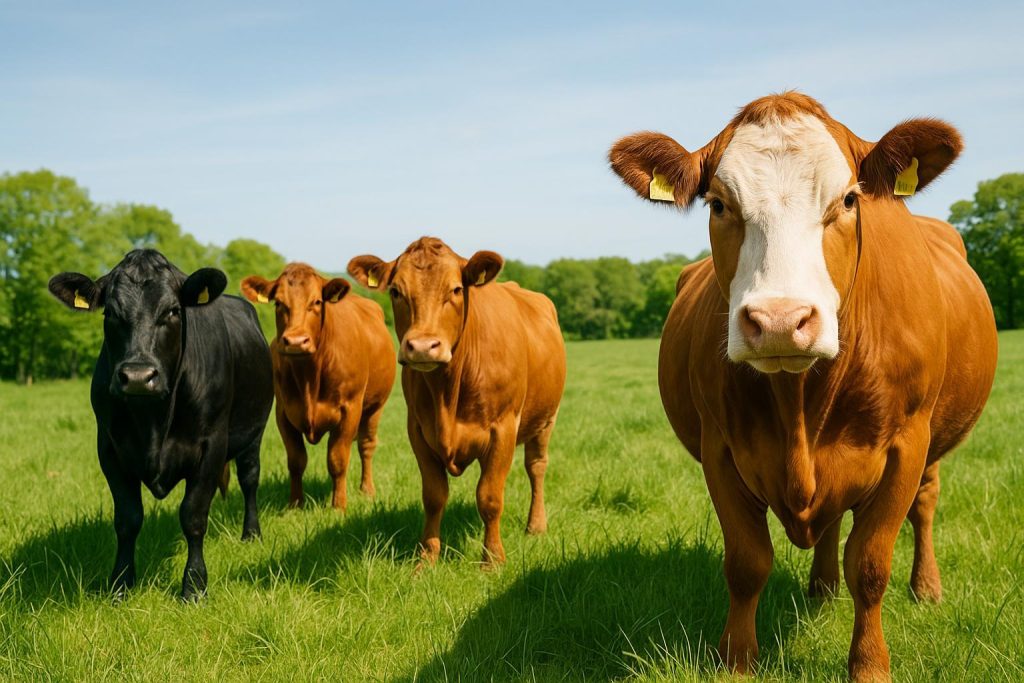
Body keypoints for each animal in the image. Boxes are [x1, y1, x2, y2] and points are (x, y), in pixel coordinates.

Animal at [48, 249, 274, 601]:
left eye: (172, 311)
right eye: (110, 313)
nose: (139, 376)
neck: (153, 421)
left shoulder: (212, 445)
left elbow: (193, 515)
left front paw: (194, 586)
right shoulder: (109, 448)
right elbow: (127, 519)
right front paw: (121, 583)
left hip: (254, 431)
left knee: (250, 479)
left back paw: (251, 534)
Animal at [240, 263, 396, 510]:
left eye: (316, 302)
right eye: (278, 303)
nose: (295, 341)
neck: (309, 378)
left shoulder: (350, 409)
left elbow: (338, 459)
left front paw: (338, 506)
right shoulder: (283, 412)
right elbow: (296, 460)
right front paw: (295, 504)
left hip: (375, 407)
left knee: (366, 445)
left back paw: (367, 490)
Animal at [347, 237, 566, 568]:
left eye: (456, 290)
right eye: (396, 291)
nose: (423, 346)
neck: (447, 392)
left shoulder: (503, 428)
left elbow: (490, 497)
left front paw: (492, 561)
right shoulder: (418, 430)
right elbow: (434, 495)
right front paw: (426, 558)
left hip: (546, 419)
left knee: (536, 466)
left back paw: (536, 526)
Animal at [608, 92, 998, 681]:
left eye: (849, 199)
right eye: (718, 204)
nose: (778, 320)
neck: (799, 406)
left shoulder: (906, 446)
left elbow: (870, 563)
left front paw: (869, 665)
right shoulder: (720, 448)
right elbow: (747, 563)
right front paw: (737, 660)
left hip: (934, 440)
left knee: (925, 505)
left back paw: (925, 588)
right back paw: (821, 589)